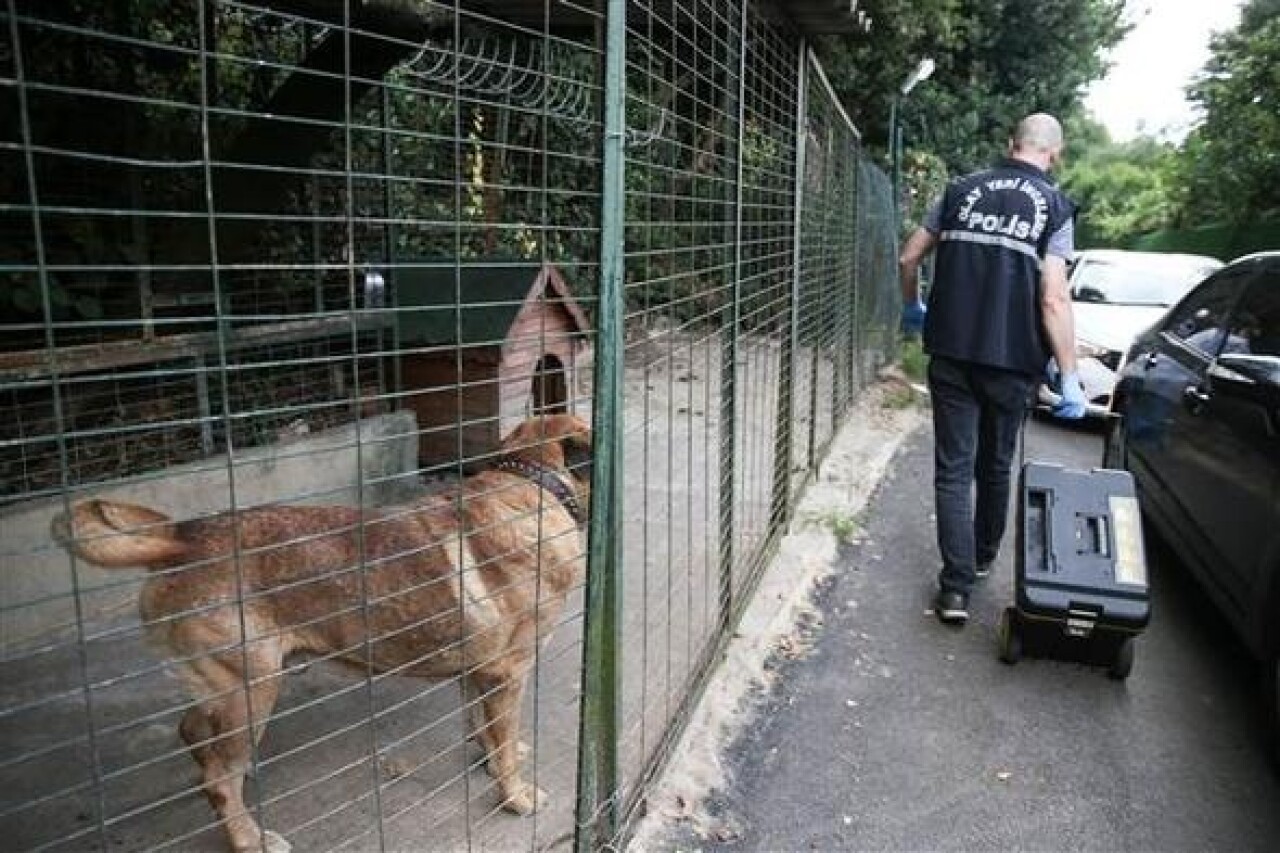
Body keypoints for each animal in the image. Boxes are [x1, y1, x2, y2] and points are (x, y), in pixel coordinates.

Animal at [49, 412, 588, 850]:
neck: (536, 485)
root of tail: (181, 538)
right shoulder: (508, 672)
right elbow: (502, 738)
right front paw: (515, 794)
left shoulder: (480, 670)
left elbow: (485, 727)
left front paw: (492, 755)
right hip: (252, 689)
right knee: (219, 778)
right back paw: (250, 838)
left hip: (229, 688)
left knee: (196, 735)